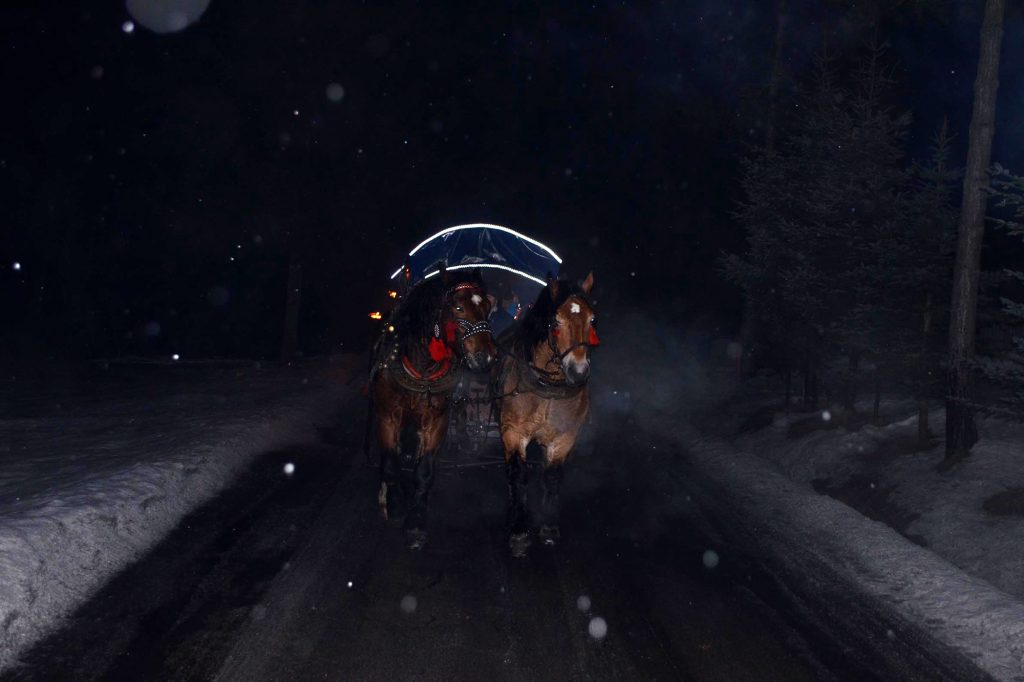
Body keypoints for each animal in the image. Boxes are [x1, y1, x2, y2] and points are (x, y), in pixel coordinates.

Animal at [369, 267, 497, 549]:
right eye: (458, 307)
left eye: (488, 307)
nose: (486, 357)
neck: (422, 368)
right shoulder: (386, 417)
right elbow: (390, 462)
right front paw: (395, 505)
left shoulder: (436, 420)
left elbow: (425, 470)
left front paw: (416, 520)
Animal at [494, 272, 598, 557]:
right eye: (555, 321)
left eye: (592, 319)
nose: (578, 372)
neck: (548, 390)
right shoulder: (513, 432)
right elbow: (518, 474)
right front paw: (519, 529)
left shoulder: (564, 437)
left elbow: (552, 476)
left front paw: (549, 527)